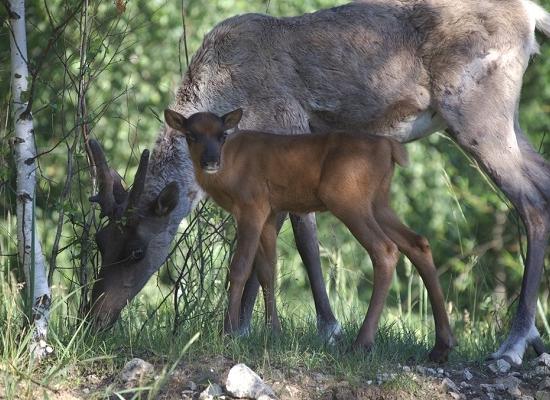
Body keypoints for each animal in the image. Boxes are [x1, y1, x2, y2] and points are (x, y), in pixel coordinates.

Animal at [165, 108, 458, 360]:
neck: (229, 172)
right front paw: (274, 332)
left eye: (222, 135)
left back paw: (361, 343)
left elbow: (239, 269)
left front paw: (228, 333)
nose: (210, 161)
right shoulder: (269, 212)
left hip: (346, 197)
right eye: (191, 135)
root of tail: (390, 148)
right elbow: (267, 271)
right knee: (418, 243)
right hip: (379, 201)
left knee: (385, 249)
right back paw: (441, 346)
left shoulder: (252, 204)